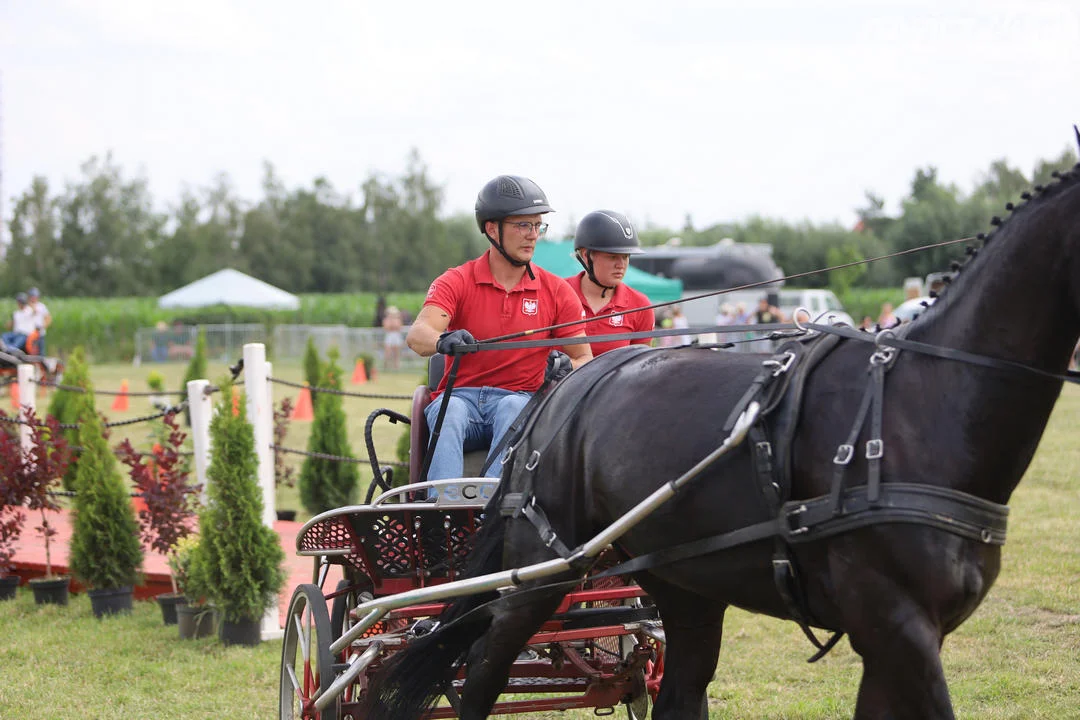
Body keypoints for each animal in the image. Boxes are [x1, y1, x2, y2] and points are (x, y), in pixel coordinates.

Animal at [367, 158, 1080, 720]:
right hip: (543, 565)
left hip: (682, 582)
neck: (919, 402)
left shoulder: (890, 640)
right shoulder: (897, 626)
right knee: (485, 663)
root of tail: (563, 388)